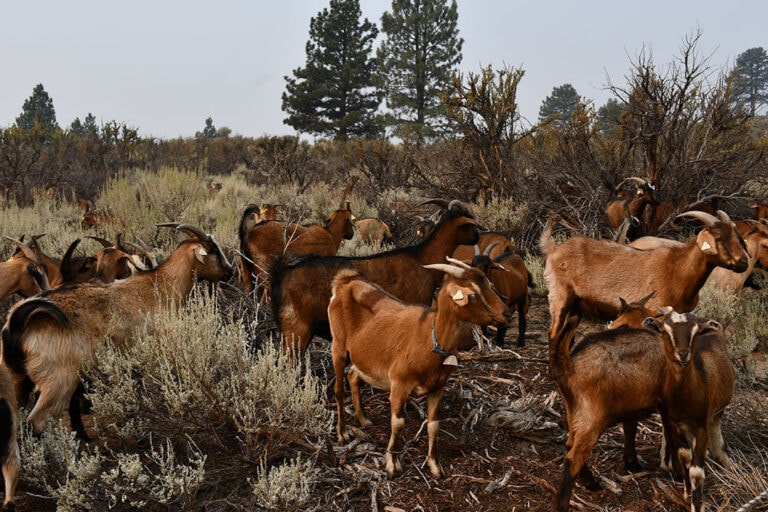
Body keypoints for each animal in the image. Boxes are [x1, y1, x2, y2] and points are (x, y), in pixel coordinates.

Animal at [0, 224, 232, 440]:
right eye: (214, 251)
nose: (230, 272)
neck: (161, 285)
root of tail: (16, 323)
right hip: (58, 382)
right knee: (36, 422)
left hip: (17, 379)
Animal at [329, 261, 511, 478]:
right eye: (473, 293)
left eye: (489, 284)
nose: (507, 313)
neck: (430, 341)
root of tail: (346, 280)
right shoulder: (399, 385)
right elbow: (398, 423)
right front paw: (392, 463)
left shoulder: (437, 387)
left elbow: (433, 425)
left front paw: (434, 465)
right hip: (338, 345)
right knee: (339, 390)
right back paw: (342, 433)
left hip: (363, 356)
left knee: (353, 375)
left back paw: (363, 419)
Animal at [541, 210, 749, 341]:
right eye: (718, 238)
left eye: (736, 235)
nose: (744, 262)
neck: (678, 270)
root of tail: (554, 248)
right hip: (560, 295)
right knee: (553, 332)